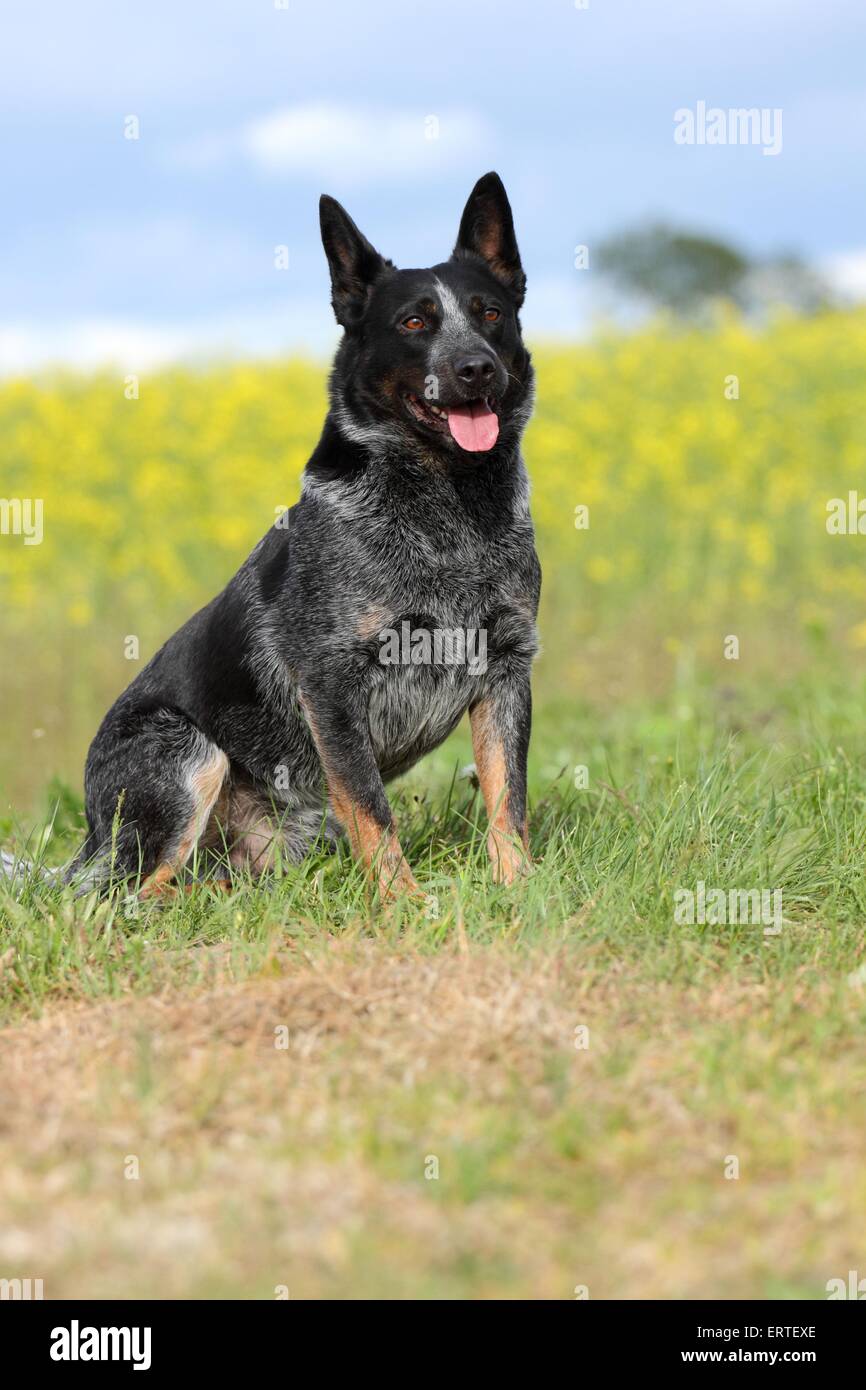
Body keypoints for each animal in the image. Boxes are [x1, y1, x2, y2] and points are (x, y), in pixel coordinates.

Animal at [66, 170, 542, 900]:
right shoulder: (332, 681)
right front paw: (405, 906)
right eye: (413, 322)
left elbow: (506, 798)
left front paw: (520, 889)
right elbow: (373, 809)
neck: (447, 506)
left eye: (489, 313)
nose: (477, 368)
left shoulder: (508, 666)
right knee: (127, 896)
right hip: (187, 755)